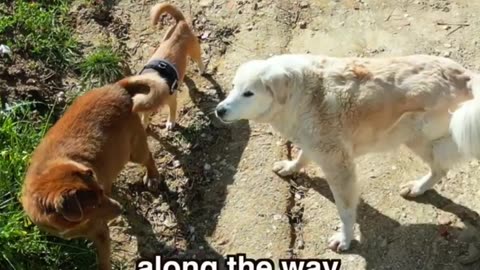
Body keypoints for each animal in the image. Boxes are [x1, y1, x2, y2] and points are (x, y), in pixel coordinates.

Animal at [20, 73, 170, 268]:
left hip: (134, 149)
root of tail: (117, 87)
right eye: (93, 205)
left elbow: (104, 261)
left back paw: (152, 177)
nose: (120, 210)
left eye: (100, 196)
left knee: (148, 157)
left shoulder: (101, 233)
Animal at [139, 2, 206, 130]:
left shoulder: (172, 100)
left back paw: (202, 70)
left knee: (199, 61)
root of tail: (180, 21)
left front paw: (170, 122)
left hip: (194, 51)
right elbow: (145, 116)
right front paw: (144, 123)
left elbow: (172, 112)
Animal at [216, 53, 480, 252]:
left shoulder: (339, 165)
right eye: (233, 87)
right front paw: (290, 167)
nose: (219, 110)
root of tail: (465, 75)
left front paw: (345, 239)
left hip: (417, 136)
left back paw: (418, 187)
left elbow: (344, 210)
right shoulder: (315, 144)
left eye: (248, 93)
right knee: (441, 167)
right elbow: (302, 156)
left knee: (441, 167)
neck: (300, 94)